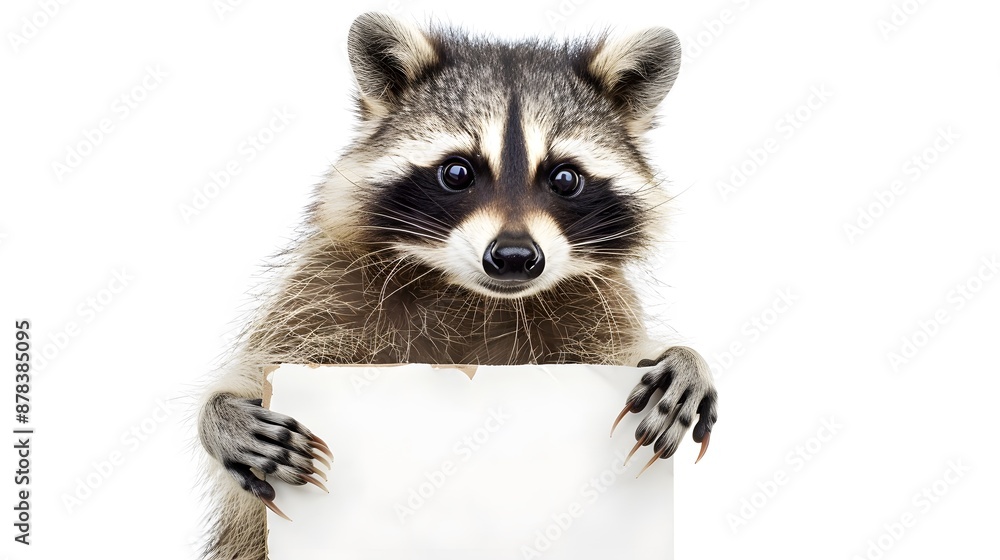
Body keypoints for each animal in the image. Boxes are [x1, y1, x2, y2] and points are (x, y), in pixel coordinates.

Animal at [197, 12, 718, 560]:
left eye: (565, 179)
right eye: (457, 172)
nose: (514, 259)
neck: (478, 298)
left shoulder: (602, 317)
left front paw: (683, 356)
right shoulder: (325, 292)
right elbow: (260, 395)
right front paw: (220, 413)